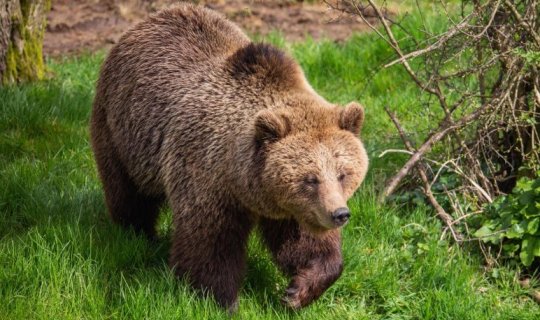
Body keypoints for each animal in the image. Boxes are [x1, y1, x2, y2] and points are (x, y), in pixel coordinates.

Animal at [90, 3, 370, 312]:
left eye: (343, 173)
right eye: (310, 179)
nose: (339, 214)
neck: (242, 180)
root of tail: (148, 21)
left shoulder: (291, 207)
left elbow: (304, 242)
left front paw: (298, 290)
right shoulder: (206, 174)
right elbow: (210, 243)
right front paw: (222, 300)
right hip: (121, 131)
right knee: (128, 193)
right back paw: (138, 235)